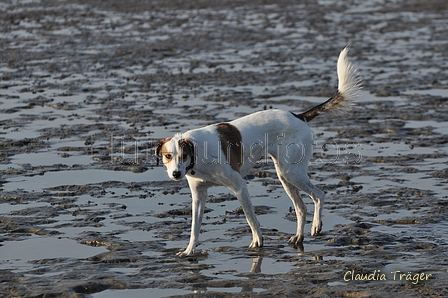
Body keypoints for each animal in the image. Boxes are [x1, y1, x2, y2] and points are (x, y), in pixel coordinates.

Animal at [158, 47, 360, 256]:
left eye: (183, 156)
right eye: (168, 156)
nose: (176, 174)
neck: (198, 152)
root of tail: (298, 116)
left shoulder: (240, 186)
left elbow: (250, 218)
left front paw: (258, 241)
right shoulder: (198, 196)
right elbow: (194, 228)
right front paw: (189, 251)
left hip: (291, 172)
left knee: (319, 195)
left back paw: (316, 226)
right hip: (284, 176)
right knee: (301, 208)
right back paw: (298, 237)